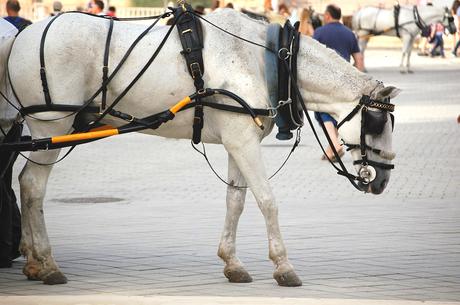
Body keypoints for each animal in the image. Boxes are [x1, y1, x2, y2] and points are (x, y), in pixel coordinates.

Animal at [0, 8, 398, 284]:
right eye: (378, 123)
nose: (382, 180)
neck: (266, 58)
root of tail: (18, 38)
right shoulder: (242, 141)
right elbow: (267, 200)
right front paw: (283, 266)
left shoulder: (240, 140)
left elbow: (236, 201)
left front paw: (232, 262)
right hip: (53, 126)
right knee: (32, 186)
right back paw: (47, 264)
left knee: (23, 183)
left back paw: (32, 261)